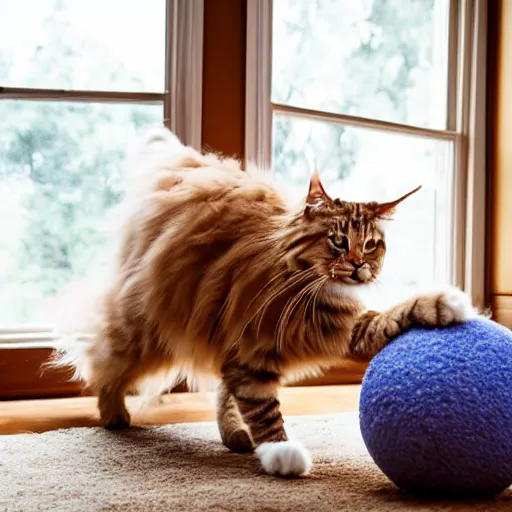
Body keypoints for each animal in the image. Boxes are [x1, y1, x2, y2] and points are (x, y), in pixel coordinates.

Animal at [52, 127, 476, 476]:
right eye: (339, 241)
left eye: (371, 245)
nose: (359, 266)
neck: (307, 290)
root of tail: (190, 165)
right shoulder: (253, 349)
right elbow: (263, 407)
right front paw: (279, 452)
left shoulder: (343, 329)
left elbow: (396, 313)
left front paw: (447, 304)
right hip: (145, 328)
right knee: (105, 361)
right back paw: (114, 415)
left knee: (222, 385)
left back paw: (233, 433)